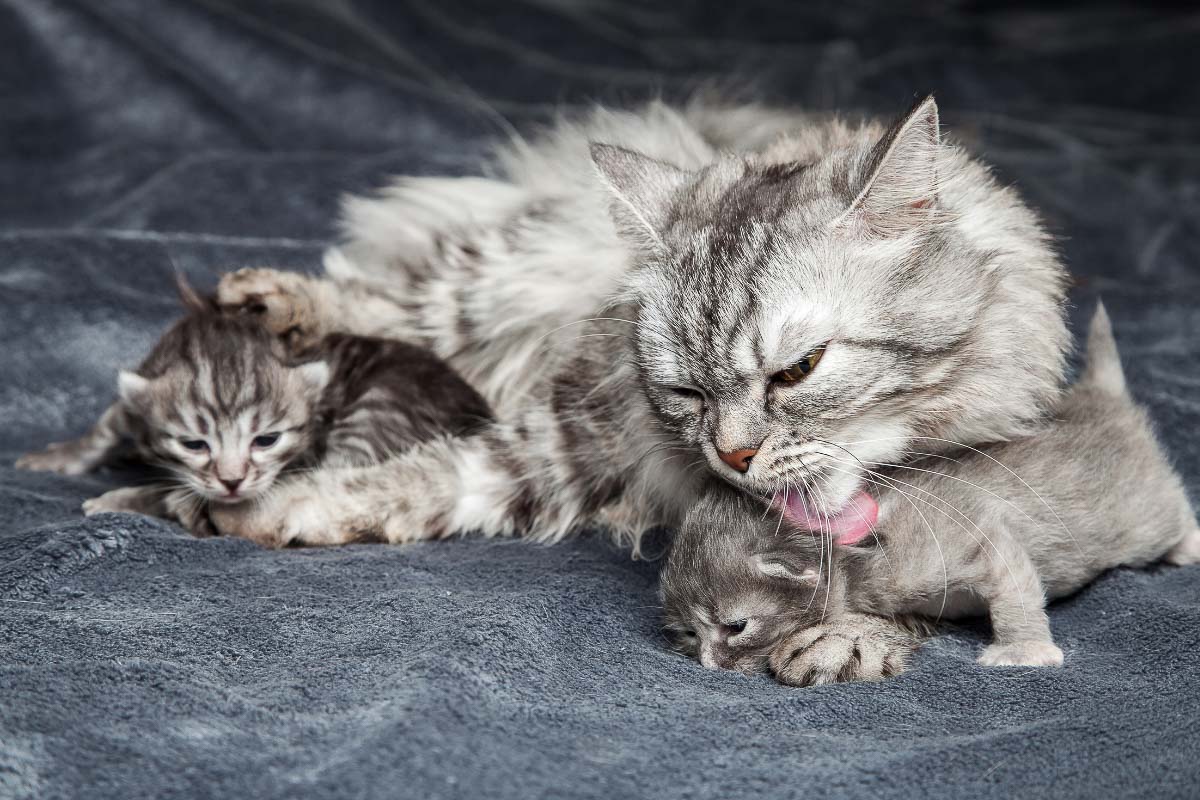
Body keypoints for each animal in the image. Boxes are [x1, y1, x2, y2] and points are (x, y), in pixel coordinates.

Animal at [15, 278, 492, 542]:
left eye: (266, 440)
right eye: (195, 444)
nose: (232, 481)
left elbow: (184, 491)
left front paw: (121, 498)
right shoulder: (144, 382)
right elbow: (108, 423)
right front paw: (57, 457)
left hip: (376, 416)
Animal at [667, 304, 1200, 681]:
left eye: (736, 627)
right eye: (689, 632)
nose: (708, 664)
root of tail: (1101, 398)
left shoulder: (981, 535)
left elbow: (1014, 587)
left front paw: (1023, 651)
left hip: (1147, 516)